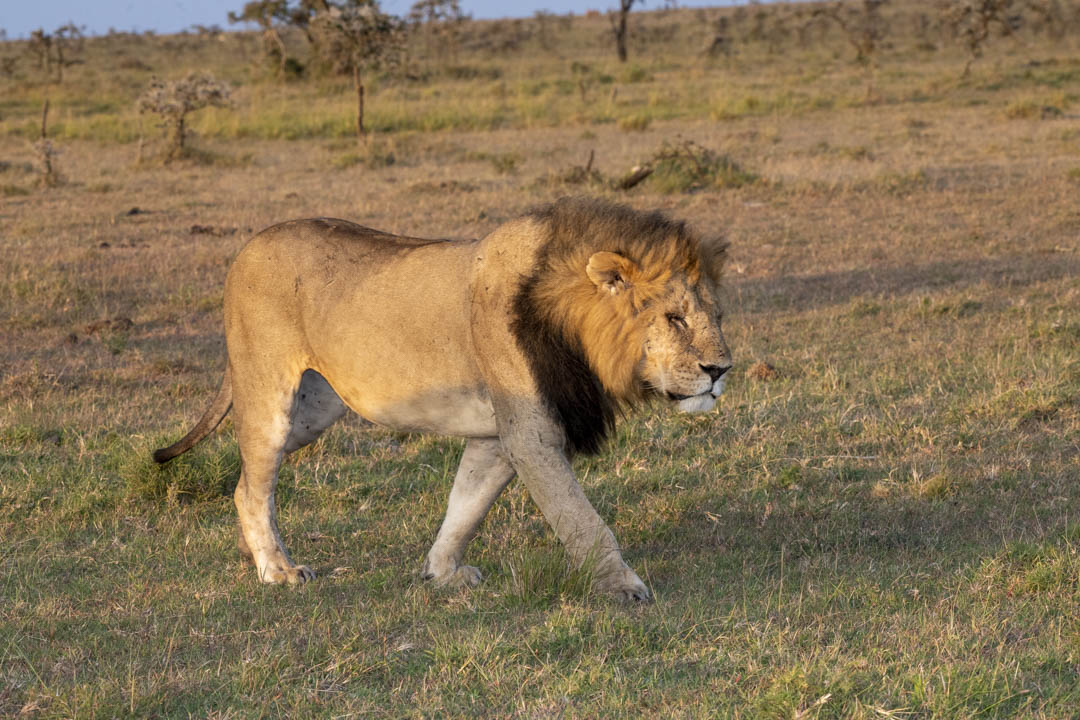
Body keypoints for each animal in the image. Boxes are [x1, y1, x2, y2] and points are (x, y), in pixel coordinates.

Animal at [153, 197, 732, 601]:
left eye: (718, 317)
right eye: (675, 319)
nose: (721, 370)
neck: (569, 322)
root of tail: (247, 247)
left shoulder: (500, 436)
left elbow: (466, 505)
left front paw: (441, 572)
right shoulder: (532, 436)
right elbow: (582, 521)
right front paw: (624, 586)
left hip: (314, 413)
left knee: (244, 478)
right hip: (268, 396)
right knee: (254, 483)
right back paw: (277, 568)